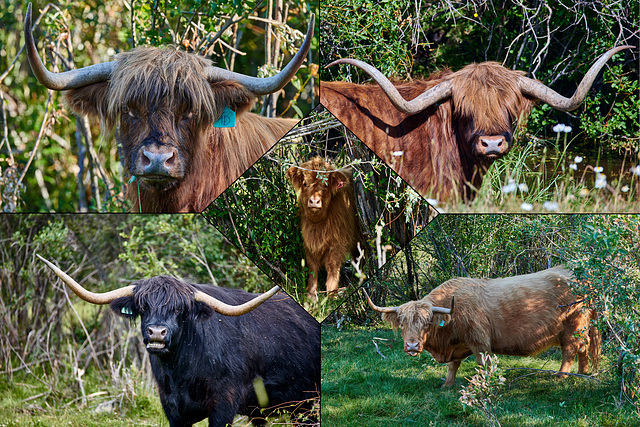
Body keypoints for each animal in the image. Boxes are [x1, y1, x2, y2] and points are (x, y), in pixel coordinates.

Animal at [37, 256, 322, 426]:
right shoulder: (172, 409)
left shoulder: (223, 405)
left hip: (306, 406)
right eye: (143, 307)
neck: (182, 372)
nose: (156, 333)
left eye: (178, 310)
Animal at [286, 157, 358, 298]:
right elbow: (312, 266)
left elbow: (332, 267)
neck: (318, 226)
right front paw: (311, 293)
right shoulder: (309, 242)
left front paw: (331, 294)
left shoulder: (337, 243)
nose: (314, 201)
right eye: (305, 184)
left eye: (326, 185)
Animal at [364, 268, 600, 388]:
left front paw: (484, 385)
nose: (412, 346)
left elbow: (482, 364)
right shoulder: (458, 346)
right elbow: (454, 365)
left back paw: (561, 377)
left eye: (426, 322)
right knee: (584, 348)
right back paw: (584, 373)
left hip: (573, 326)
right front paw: (447, 385)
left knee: (570, 349)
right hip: (581, 327)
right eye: (402, 323)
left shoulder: (479, 341)